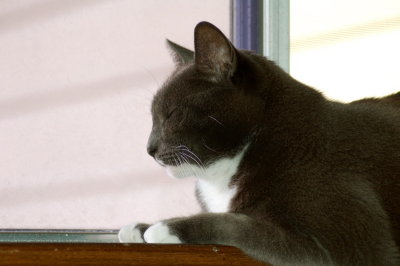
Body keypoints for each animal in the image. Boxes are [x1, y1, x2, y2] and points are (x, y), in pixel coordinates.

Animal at [119, 21, 400, 264]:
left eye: (173, 114)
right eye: (153, 116)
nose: (149, 148)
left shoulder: (339, 243)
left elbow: (237, 224)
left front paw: (164, 227)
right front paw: (138, 228)